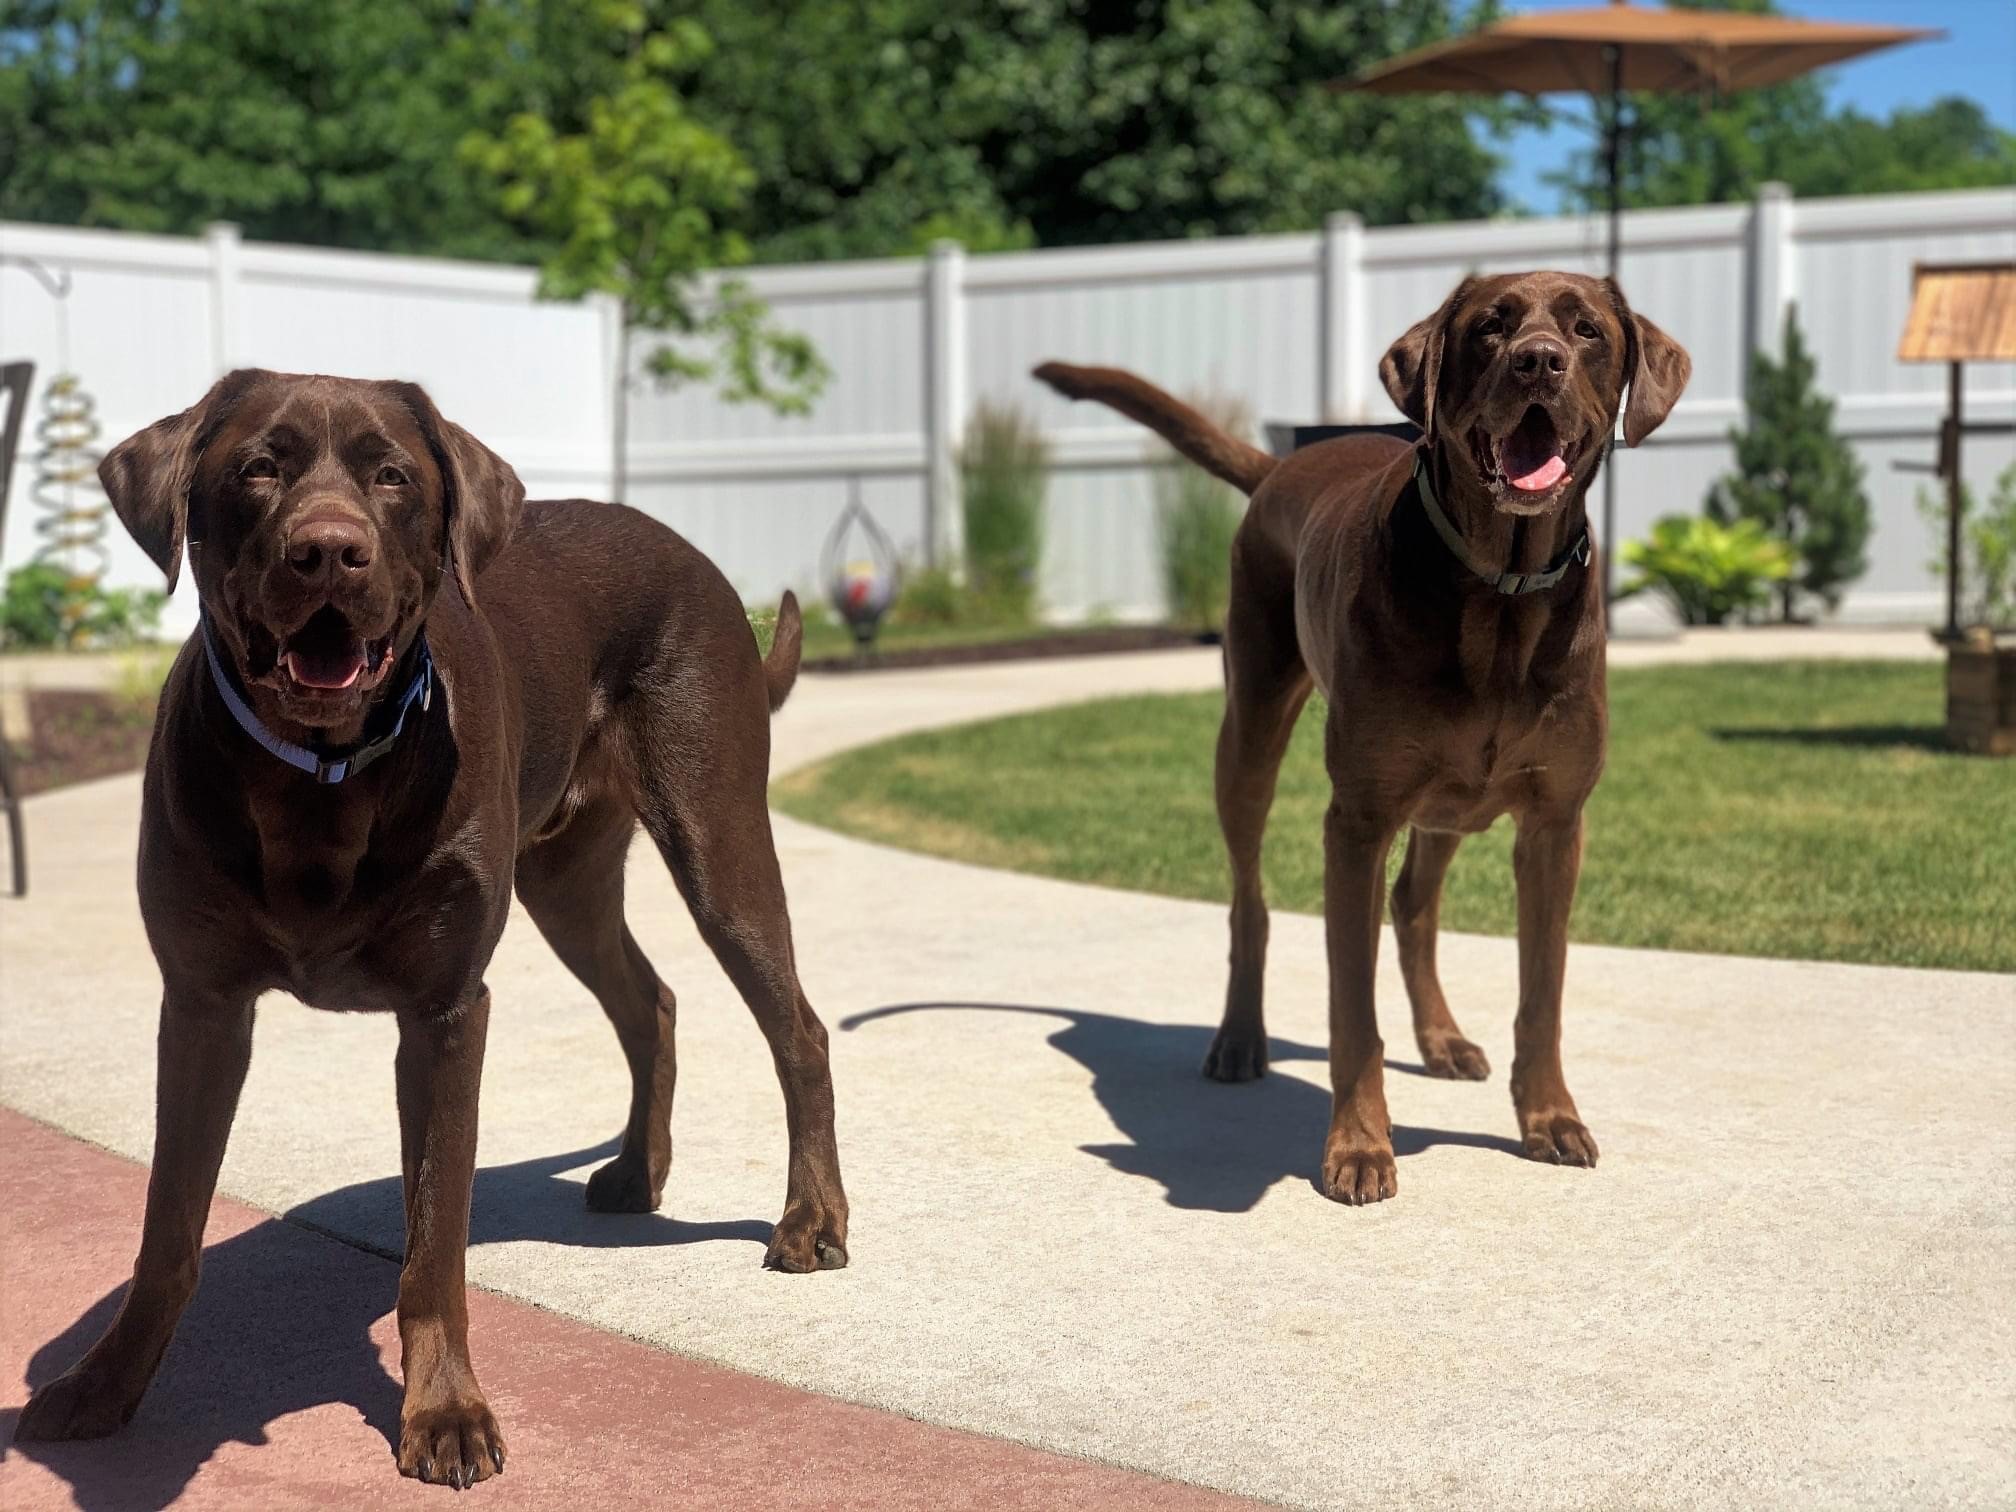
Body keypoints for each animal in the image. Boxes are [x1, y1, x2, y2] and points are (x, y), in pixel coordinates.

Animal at [15, 371, 850, 1485]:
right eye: (258, 468)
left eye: (393, 477)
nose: (328, 550)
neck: (322, 773)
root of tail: (693, 554)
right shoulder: (200, 1003)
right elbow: (168, 1228)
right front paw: (107, 1383)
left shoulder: (447, 1009)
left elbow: (433, 1241)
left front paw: (445, 1411)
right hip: (565, 877)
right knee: (651, 1000)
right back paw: (639, 1170)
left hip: (715, 831)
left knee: (796, 1026)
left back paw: (811, 1221)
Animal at [1036, 271, 1689, 1204]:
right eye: (1491, 327)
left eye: (1586, 330)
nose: (1538, 361)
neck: (1500, 592)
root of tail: (1282, 463)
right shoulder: (1357, 819)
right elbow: (1353, 1008)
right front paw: (1357, 1146)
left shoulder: (1556, 823)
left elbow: (1543, 992)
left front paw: (1550, 1119)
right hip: (1252, 729)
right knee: (1250, 901)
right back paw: (1240, 1040)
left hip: (1452, 799)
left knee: (1414, 903)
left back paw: (1442, 1039)